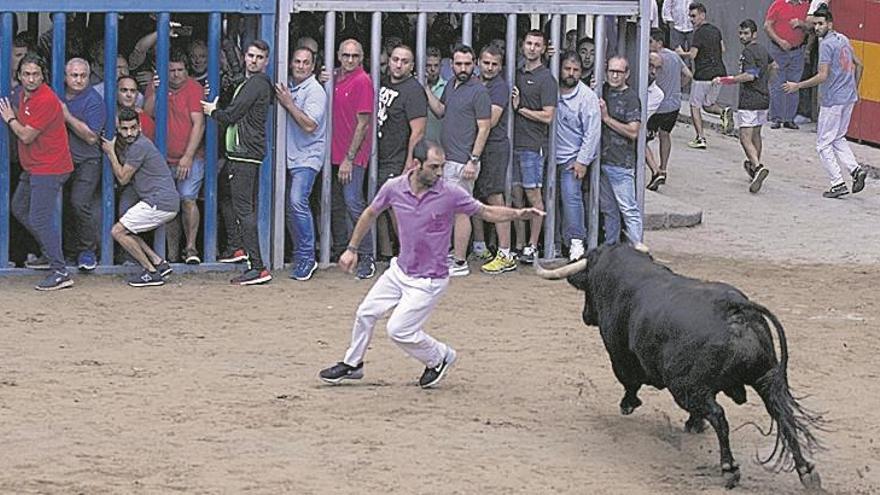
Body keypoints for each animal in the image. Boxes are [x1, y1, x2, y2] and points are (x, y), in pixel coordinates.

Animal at [536, 246, 824, 490]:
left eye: (588, 287)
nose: (586, 316)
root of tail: (734, 308)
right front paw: (694, 424)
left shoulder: (619, 353)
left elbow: (629, 381)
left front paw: (628, 404)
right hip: (766, 379)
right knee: (782, 416)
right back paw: (806, 471)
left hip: (685, 388)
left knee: (719, 416)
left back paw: (729, 468)